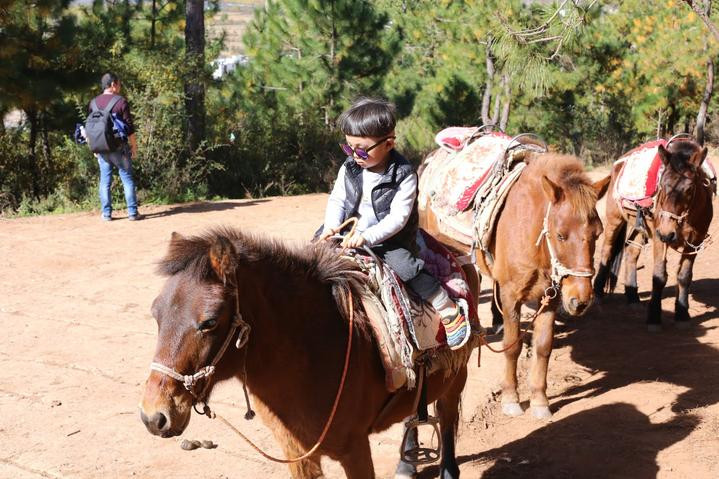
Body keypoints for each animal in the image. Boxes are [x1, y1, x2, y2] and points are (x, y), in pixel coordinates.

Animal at [139, 228, 474, 479]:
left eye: (209, 322)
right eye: (156, 314)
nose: (154, 416)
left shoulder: (355, 450)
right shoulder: (296, 453)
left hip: (457, 378)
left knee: (446, 418)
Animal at [420, 151, 609, 419]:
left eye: (597, 233)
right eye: (560, 235)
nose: (580, 300)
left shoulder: (550, 298)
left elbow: (543, 347)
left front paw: (540, 400)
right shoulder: (512, 297)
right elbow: (512, 346)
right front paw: (511, 398)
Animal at [593, 138, 714, 331]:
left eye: (689, 189)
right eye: (662, 185)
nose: (668, 232)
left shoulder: (695, 241)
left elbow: (684, 276)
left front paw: (682, 314)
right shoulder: (659, 238)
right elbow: (659, 277)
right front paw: (654, 318)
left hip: (640, 226)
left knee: (631, 252)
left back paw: (632, 296)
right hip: (615, 220)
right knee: (607, 251)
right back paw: (597, 293)